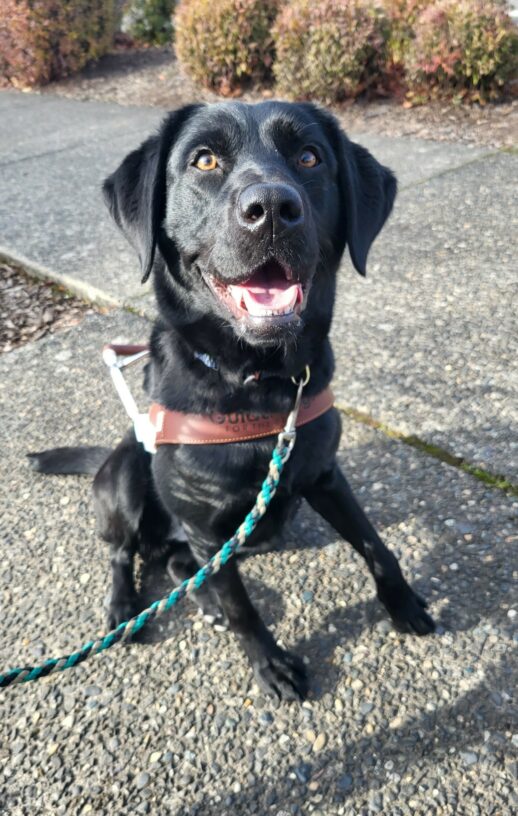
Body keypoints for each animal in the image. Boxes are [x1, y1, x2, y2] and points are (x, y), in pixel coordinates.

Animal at [32, 103, 436, 700]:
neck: (259, 383)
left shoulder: (324, 475)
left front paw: (402, 602)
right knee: (125, 553)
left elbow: (375, 545)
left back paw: (199, 599)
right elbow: (244, 606)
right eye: (204, 160)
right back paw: (125, 607)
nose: (271, 209)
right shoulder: (206, 528)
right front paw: (270, 663)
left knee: (177, 564)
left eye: (309, 157)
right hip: (125, 477)